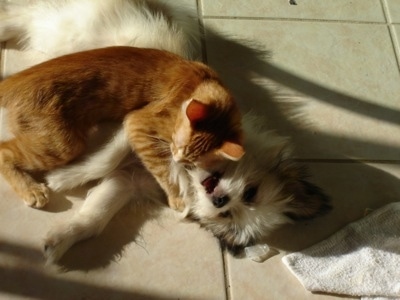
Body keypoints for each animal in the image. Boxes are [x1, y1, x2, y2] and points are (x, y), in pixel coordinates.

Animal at [0, 46, 244, 211]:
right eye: (178, 145)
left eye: (192, 160)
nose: (177, 158)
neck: (204, 82)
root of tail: (15, 80)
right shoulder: (137, 123)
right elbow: (163, 170)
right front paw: (177, 197)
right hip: (63, 144)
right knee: (4, 151)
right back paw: (31, 189)